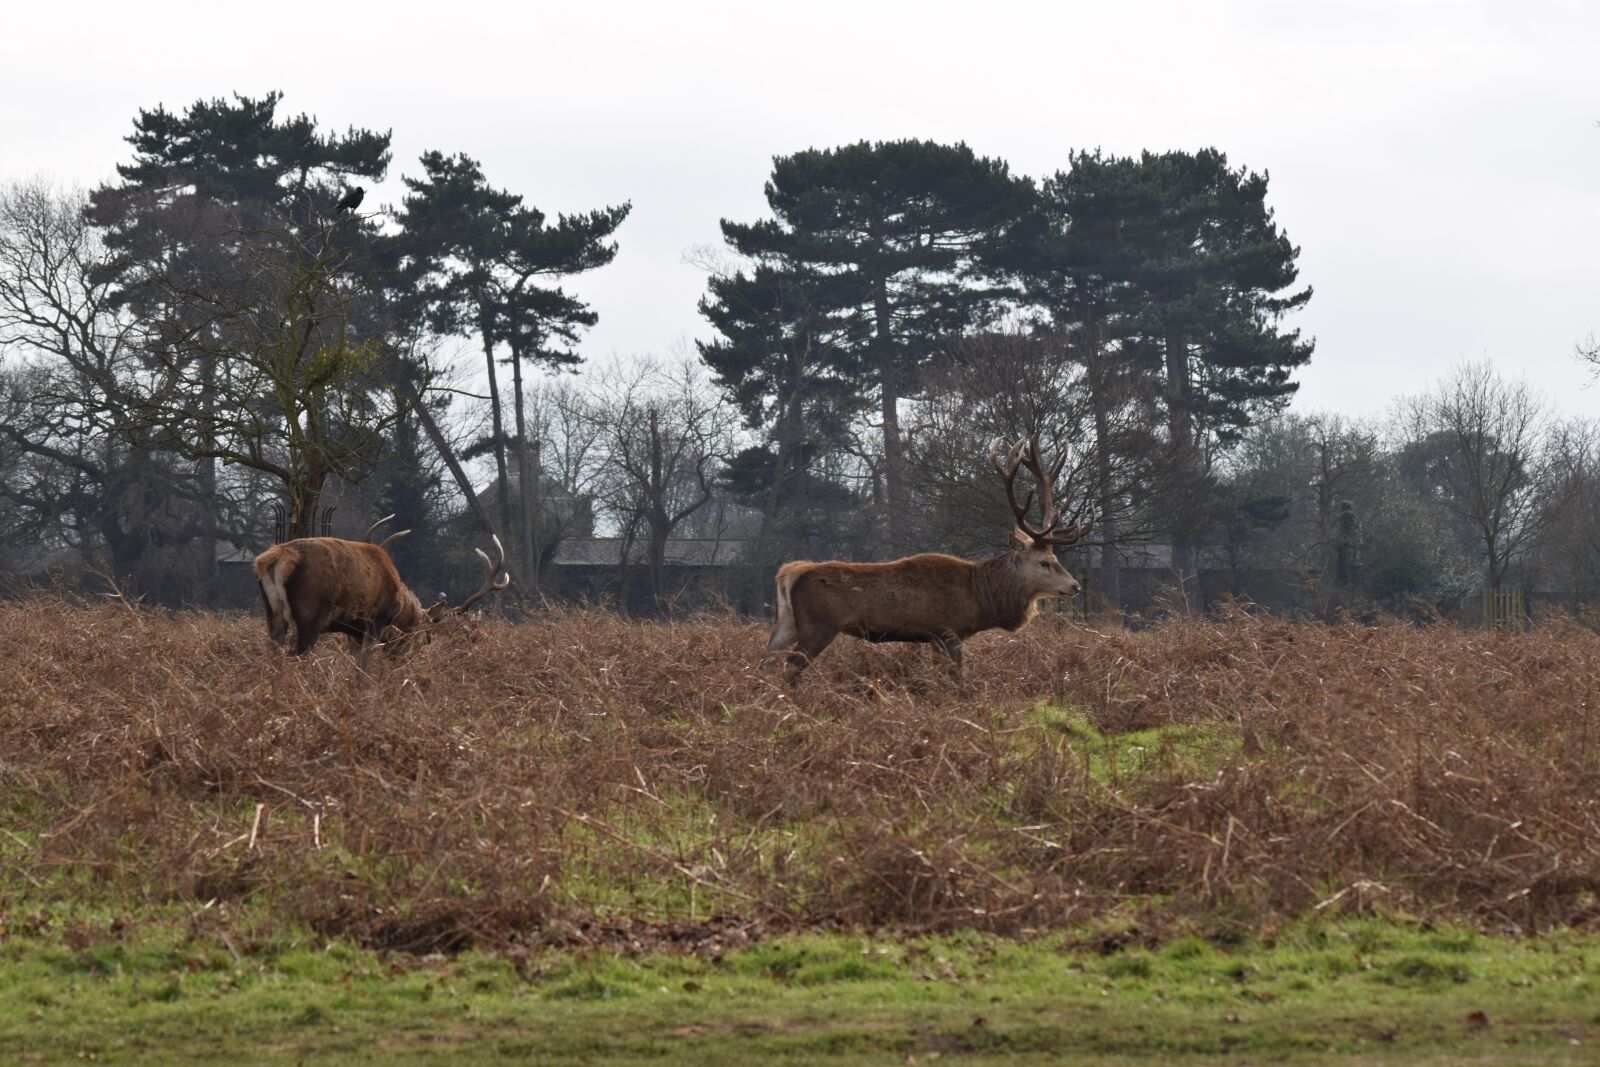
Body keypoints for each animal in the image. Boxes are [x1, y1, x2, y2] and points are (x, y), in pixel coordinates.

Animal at [253, 515, 510, 661]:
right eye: (426, 638)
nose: (407, 661)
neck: (400, 606)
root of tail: (274, 558)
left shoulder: (352, 632)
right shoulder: (374, 622)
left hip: (273, 612)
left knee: (273, 652)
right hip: (310, 615)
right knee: (295, 656)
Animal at [763, 435, 1092, 684]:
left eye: (1055, 557)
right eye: (1044, 562)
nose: (1075, 586)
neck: (980, 597)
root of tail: (788, 574)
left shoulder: (935, 637)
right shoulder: (948, 631)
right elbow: (956, 680)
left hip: (786, 624)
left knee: (765, 661)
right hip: (818, 626)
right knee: (790, 668)